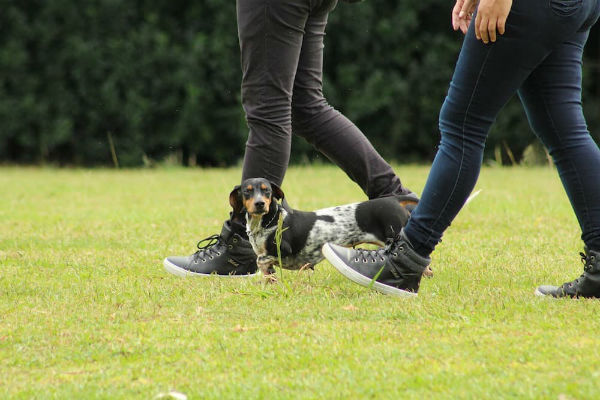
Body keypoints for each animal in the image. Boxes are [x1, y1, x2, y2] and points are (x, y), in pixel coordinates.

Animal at [230, 178, 426, 278]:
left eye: (267, 191)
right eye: (247, 191)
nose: (260, 204)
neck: (266, 223)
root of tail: (394, 200)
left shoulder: (282, 251)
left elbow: (261, 260)